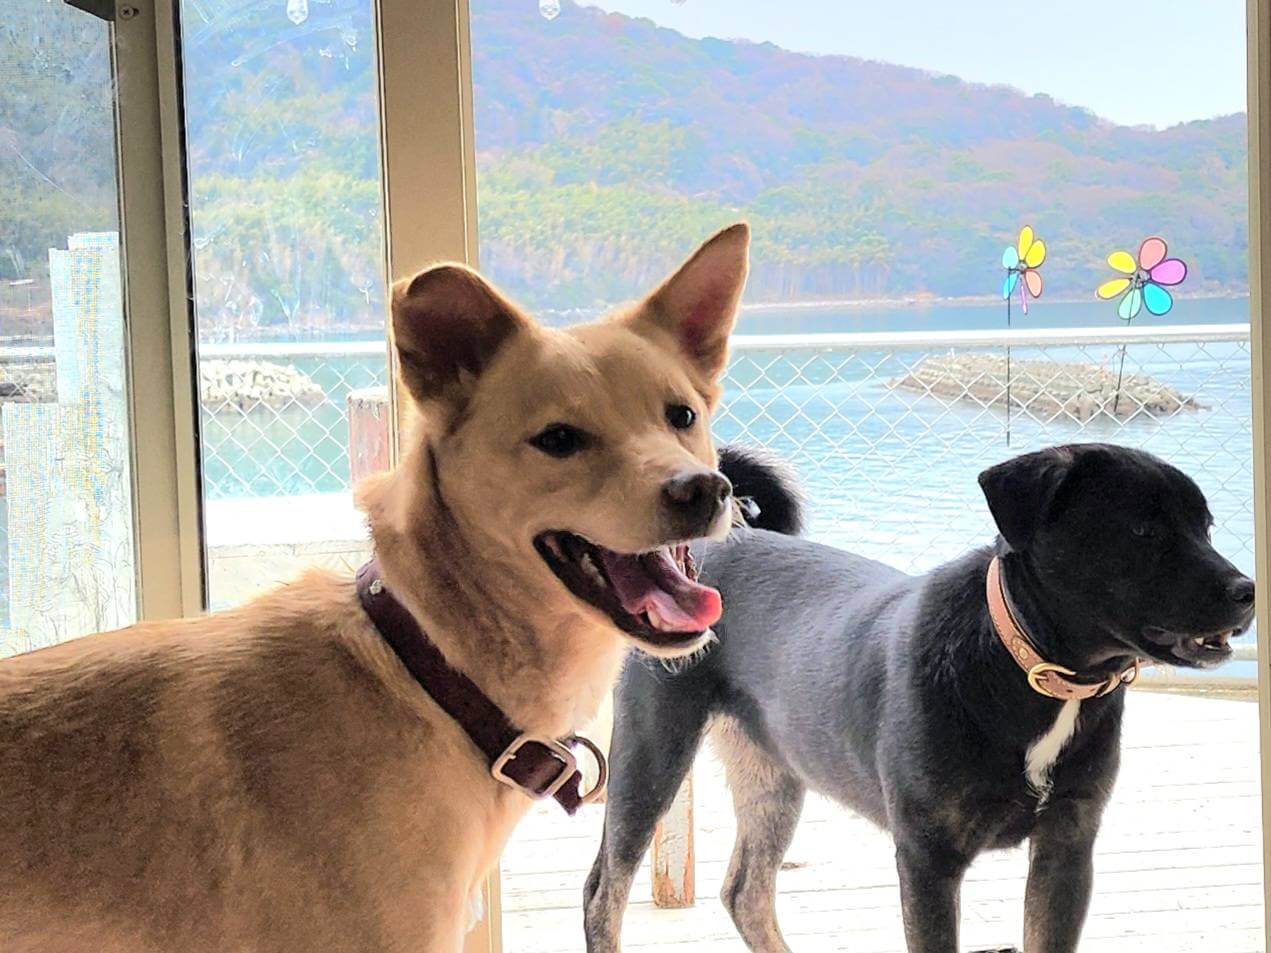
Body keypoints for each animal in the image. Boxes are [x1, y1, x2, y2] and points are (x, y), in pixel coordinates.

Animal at [584, 442, 1255, 953]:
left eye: (1205, 526)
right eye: (1142, 530)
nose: (1247, 590)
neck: (1024, 664)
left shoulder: (1067, 848)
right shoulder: (929, 860)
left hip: (772, 771)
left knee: (746, 891)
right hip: (652, 753)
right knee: (604, 890)